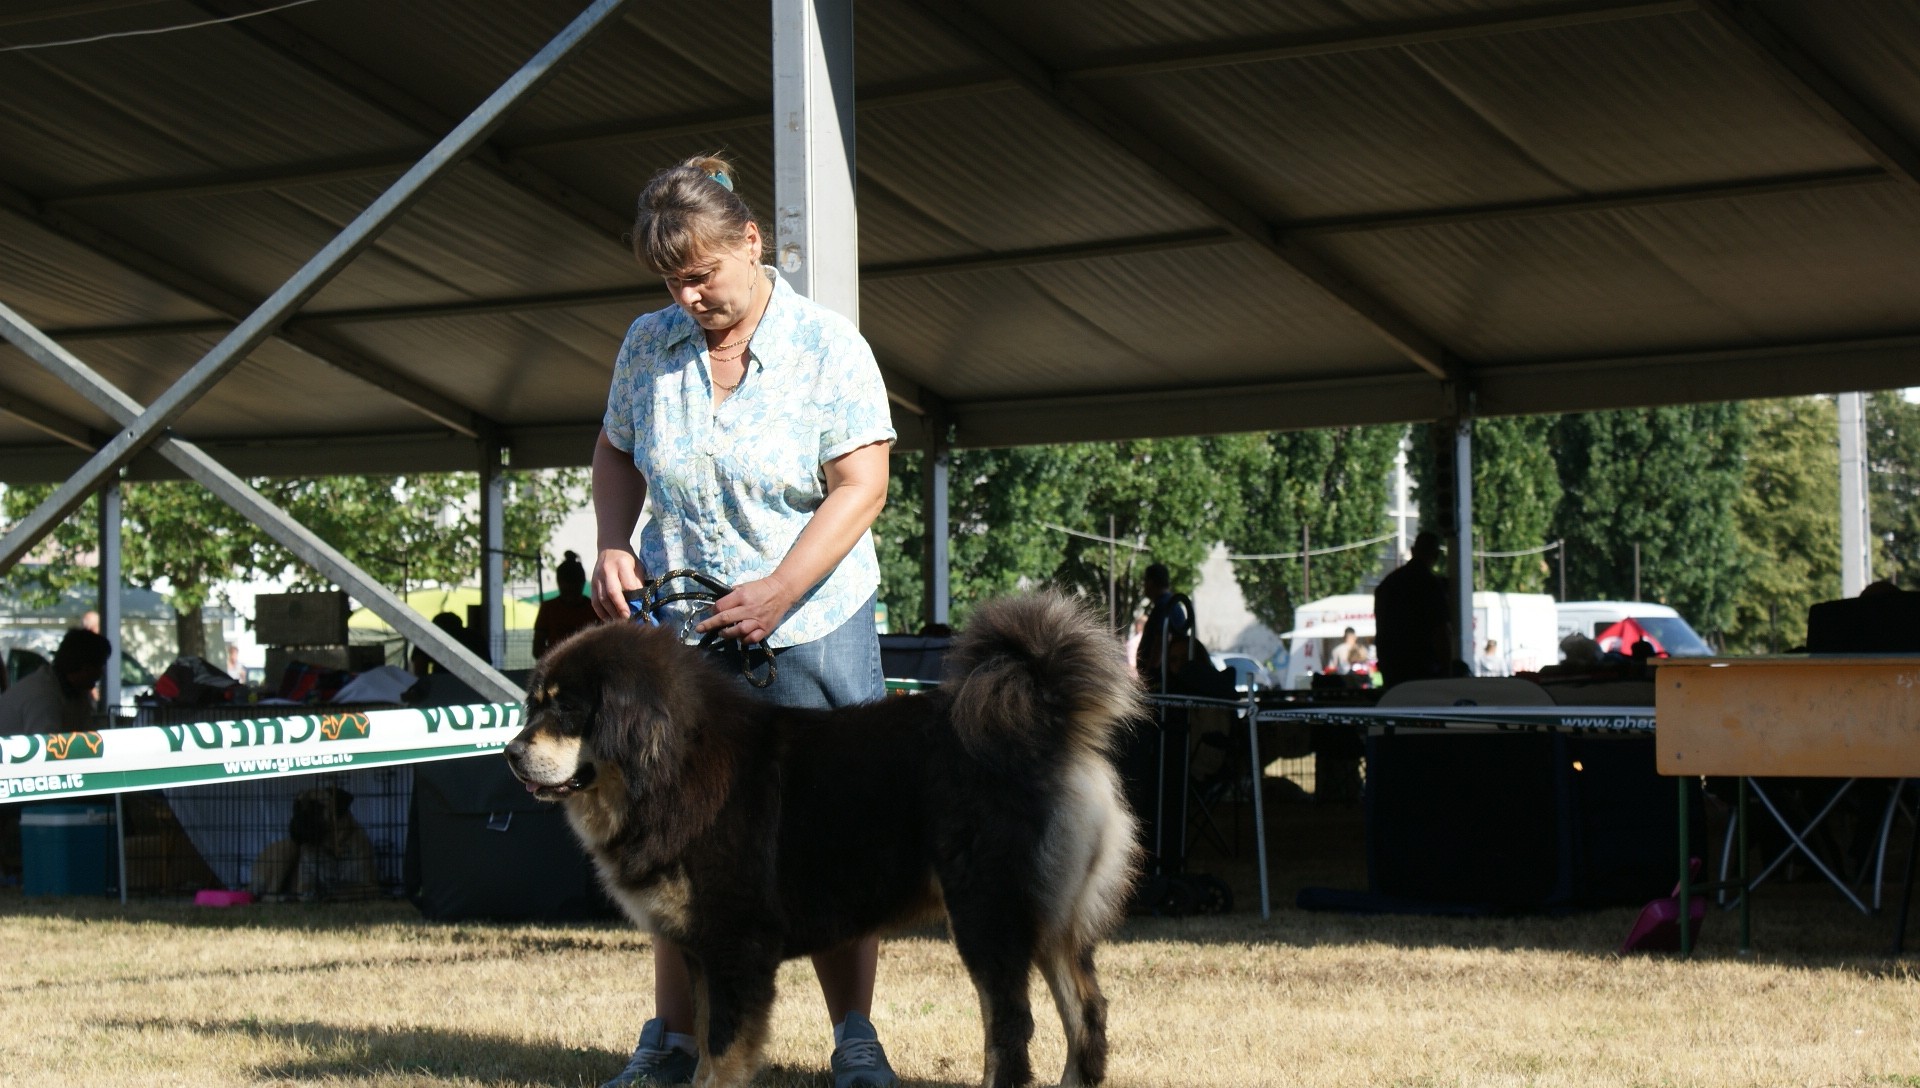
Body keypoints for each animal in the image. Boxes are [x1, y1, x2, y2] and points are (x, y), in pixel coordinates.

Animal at [250, 784, 380, 902]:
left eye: (316, 807)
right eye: (296, 807)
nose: (297, 818)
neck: (329, 850)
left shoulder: (370, 886)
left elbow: (346, 889)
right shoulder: (305, 883)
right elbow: (310, 890)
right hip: (286, 850)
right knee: (267, 895)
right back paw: (285, 897)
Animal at [506, 591, 1142, 1088]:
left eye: (566, 709)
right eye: (532, 704)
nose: (511, 753)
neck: (669, 765)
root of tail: (1046, 719)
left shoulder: (736, 945)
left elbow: (724, 1046)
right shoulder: (700, 948)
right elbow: (706, 1042)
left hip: (986, 913)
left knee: (1011, 1023)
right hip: (1053, 918)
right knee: (1087, 1010)